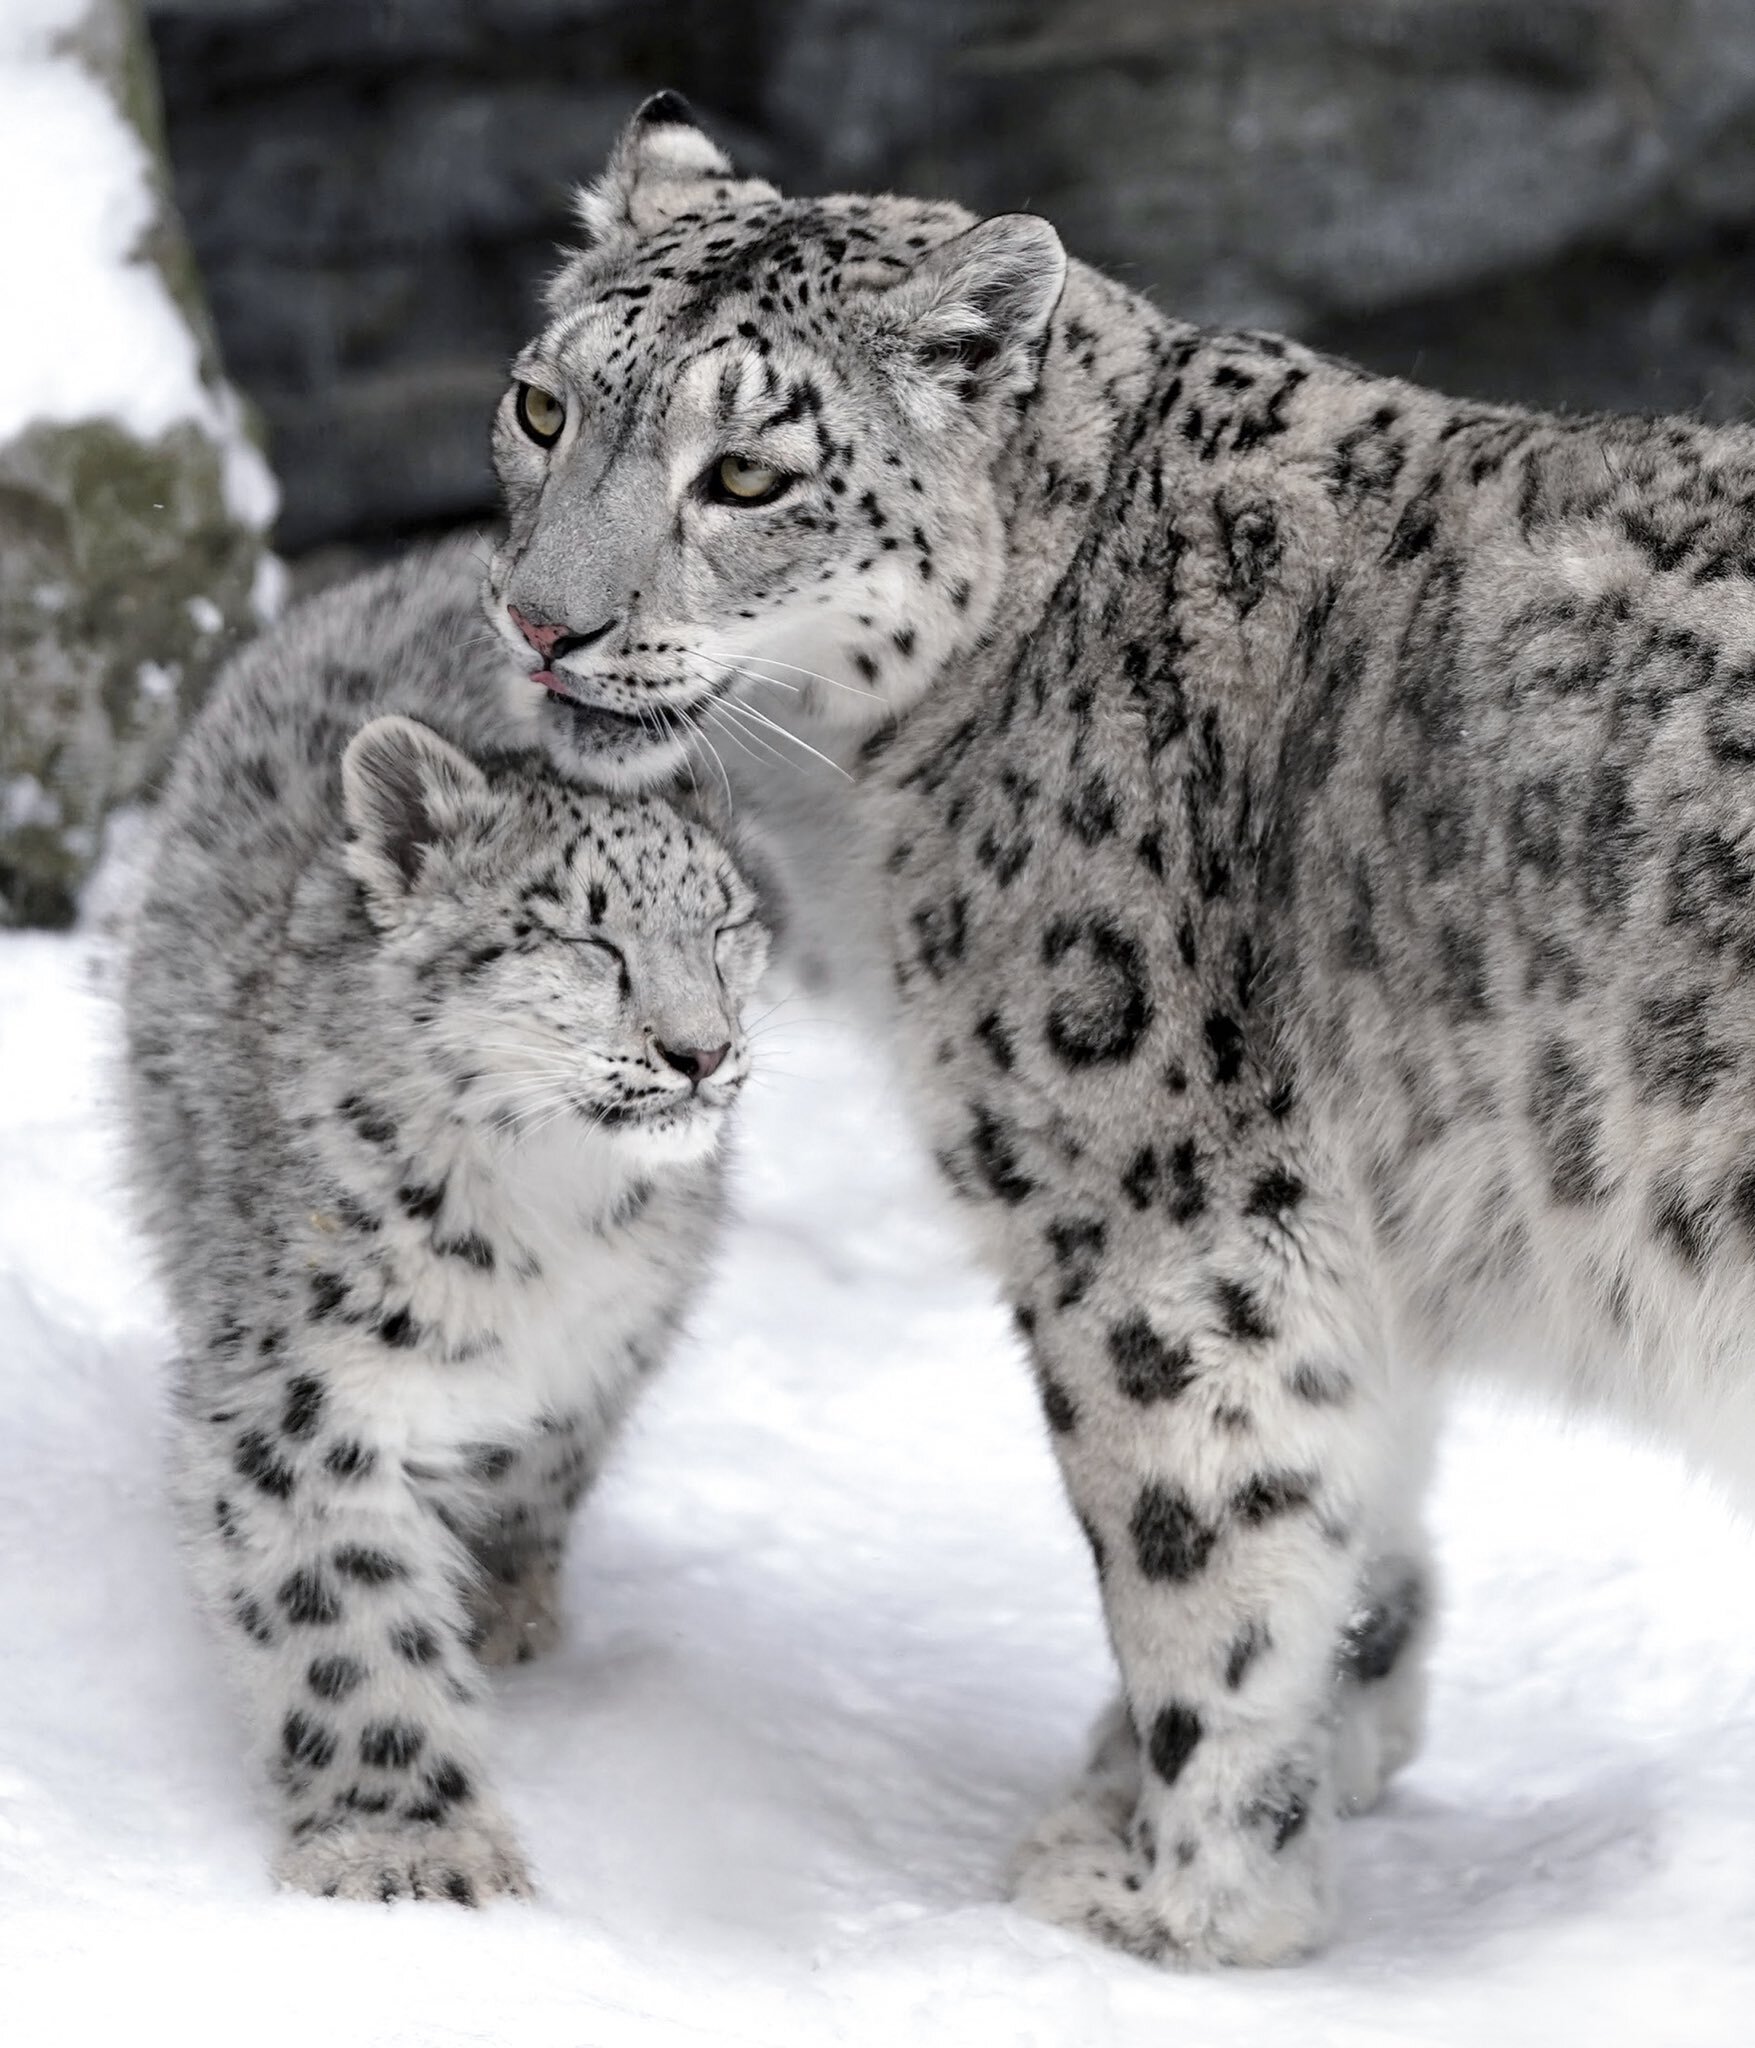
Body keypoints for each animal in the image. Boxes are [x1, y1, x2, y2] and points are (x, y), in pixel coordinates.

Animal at [126, 544, 769, 1900]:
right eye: (585, 935)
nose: (702, 1050)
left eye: (726, 924)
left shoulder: (614, 1344)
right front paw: (412, 1851)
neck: (552, 1217)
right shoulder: (304, 1394)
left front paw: (504, 1607)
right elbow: (346, 1622)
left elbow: (544, 1458)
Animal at [468, 99, 1755, 1966]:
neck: (867, 815)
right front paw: (1267, 1755)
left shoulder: (1158, 1214)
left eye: (750, 477)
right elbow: (1361, 1498)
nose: (541, 624)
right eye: (544, 404)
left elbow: (1201, 1548)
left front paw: (1178, 1899)